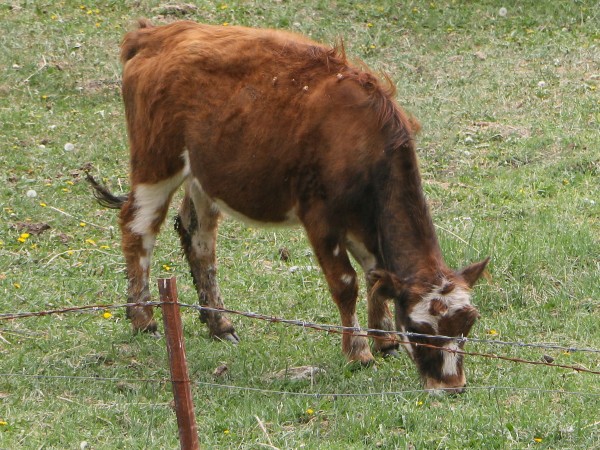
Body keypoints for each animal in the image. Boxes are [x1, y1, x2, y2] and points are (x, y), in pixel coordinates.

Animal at [91, 20, 490, 394]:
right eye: (421, 329)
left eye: (467, 325)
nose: (452, 386)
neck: (363, 140)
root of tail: (158, 33)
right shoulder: (320, 218)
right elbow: (347, 283)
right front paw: (358, 352)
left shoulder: (362, 222)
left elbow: (375, 275)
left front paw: (385, 340)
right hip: (156, 163)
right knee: (138, 229)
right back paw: (143, 318)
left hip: (203, 175)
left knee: (198, 238)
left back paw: (219, 323)